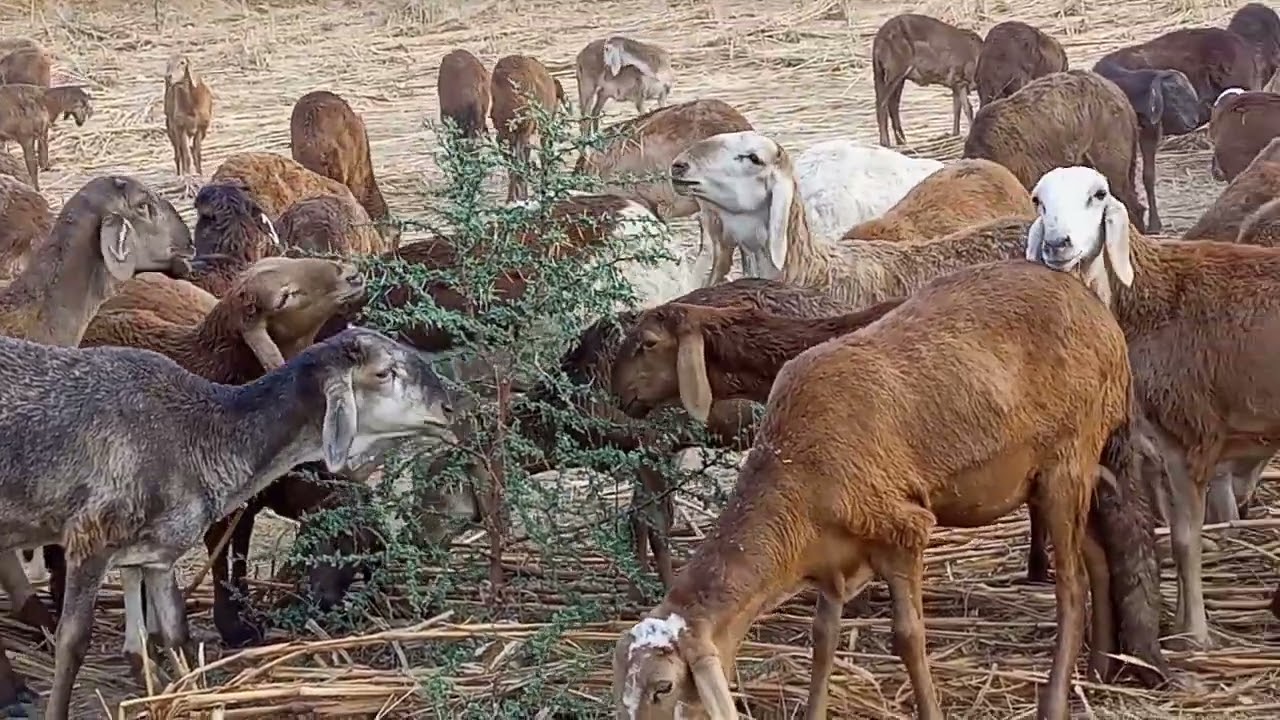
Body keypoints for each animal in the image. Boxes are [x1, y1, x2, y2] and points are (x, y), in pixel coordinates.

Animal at [0, 327, 452, 719]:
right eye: (384, 372)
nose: (448, 408)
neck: (196, 435)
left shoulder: (157, 554)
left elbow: (175, 633)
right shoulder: (90, 537)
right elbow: (73, 643)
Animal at [163, 54, 213, 190]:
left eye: (182, 62)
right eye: (168, 63)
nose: (168, 77)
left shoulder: (201, 127)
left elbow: (197, 153)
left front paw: (199, 175)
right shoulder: (180, 127)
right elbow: (186, 155)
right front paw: (187, 178)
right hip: (171, 128)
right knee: (178, 153)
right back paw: (180, 175)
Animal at [611, 259, 1144, 720]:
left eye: (663, 687)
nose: (619, 397)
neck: (792, 467)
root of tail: (1094, 307)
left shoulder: (905, 528)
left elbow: (907, 637)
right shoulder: (831, 554)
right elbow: (822, 638)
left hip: (1068, 457)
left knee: (1070, 587)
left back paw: (1056, 700)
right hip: (1054, 476)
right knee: (1095, 554)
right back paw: (1100, 666)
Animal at [871, 13, 983, 146]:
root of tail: (878, 39)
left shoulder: (955, 85)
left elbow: (957, 109)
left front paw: (954, 134)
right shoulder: (960, 80)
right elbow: (968, 108)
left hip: (892, 75)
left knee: (892, 104)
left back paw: (902, 140)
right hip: (896, 70)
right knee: (882, 103)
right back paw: (885, 142)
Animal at [1025, 164, 1280, 651]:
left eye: (1098, 195)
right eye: (1038, 201)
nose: (1057, 244)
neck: (1144, 304)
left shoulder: (1190, 438)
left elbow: (1185, 540)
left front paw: (1195, 634)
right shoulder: (1154, 449)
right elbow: (1173, 540)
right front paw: (1179, 622)